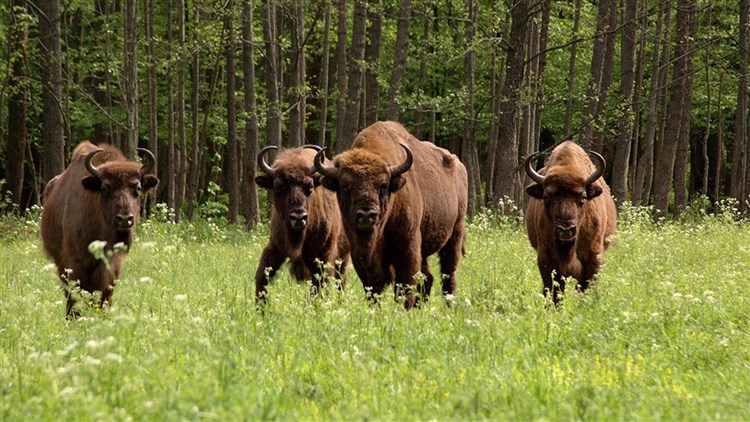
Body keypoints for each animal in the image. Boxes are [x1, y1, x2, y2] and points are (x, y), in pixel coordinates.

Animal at [41, 142, 160, 316]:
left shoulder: (114, 267)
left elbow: (105, 296)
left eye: (138, 188)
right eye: (104, 188)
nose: (125, 219)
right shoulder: (75, 264)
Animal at [256, 145, 352, 300]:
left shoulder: (323, 255)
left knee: (341, 280)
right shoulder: (275, 247)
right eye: (278, 187)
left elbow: (320, 285)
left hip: (344, 255)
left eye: (310, 187)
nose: (298, 217)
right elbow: (262, 275)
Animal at [314, 120, 468, 308]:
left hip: (455, 233)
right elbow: (373, 286)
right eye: (345, 185)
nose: (366, 215)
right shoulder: (359, 253)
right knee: (428, 278)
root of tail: (459, 165)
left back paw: (448, 305)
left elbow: (405, 283)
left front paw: (404, 309)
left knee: (448, 273)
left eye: (383, 185)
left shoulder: (408, 245)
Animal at [524, 141, 620, 304]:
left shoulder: (593, 257)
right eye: (546, 196)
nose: (565, 229)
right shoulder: (546, 259)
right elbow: (553, 290)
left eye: (583, 197)